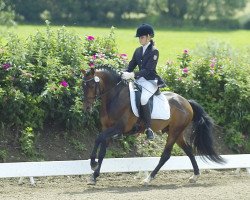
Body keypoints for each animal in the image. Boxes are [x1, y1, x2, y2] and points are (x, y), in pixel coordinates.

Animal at [82, 66, 225, 185]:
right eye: (83, 86)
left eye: (91, 85)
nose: (87, 108)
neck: (114, 98)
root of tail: (186, 102)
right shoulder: (107, 128)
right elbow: (102, 152)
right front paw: (94, 176)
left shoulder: (119, 128)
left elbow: (98, 138)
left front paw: (93, 163)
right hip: (176, 133)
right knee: (189, 150)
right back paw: (195, 176)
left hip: (174, 132)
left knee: (166, 155)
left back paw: (148, 179)